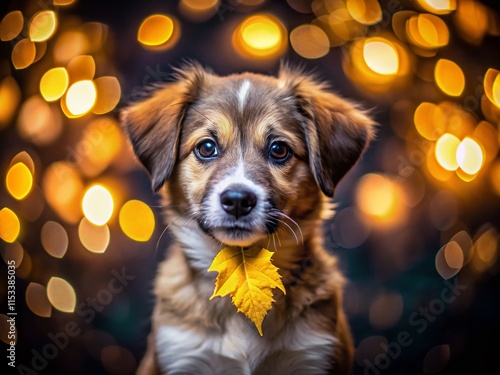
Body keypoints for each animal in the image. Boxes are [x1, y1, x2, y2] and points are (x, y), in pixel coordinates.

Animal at [121, 63, 376, 374]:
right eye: (206, 147)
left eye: (279, 149)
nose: (238, 200)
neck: (242, 272)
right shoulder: (179, 355)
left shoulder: (315, 354)